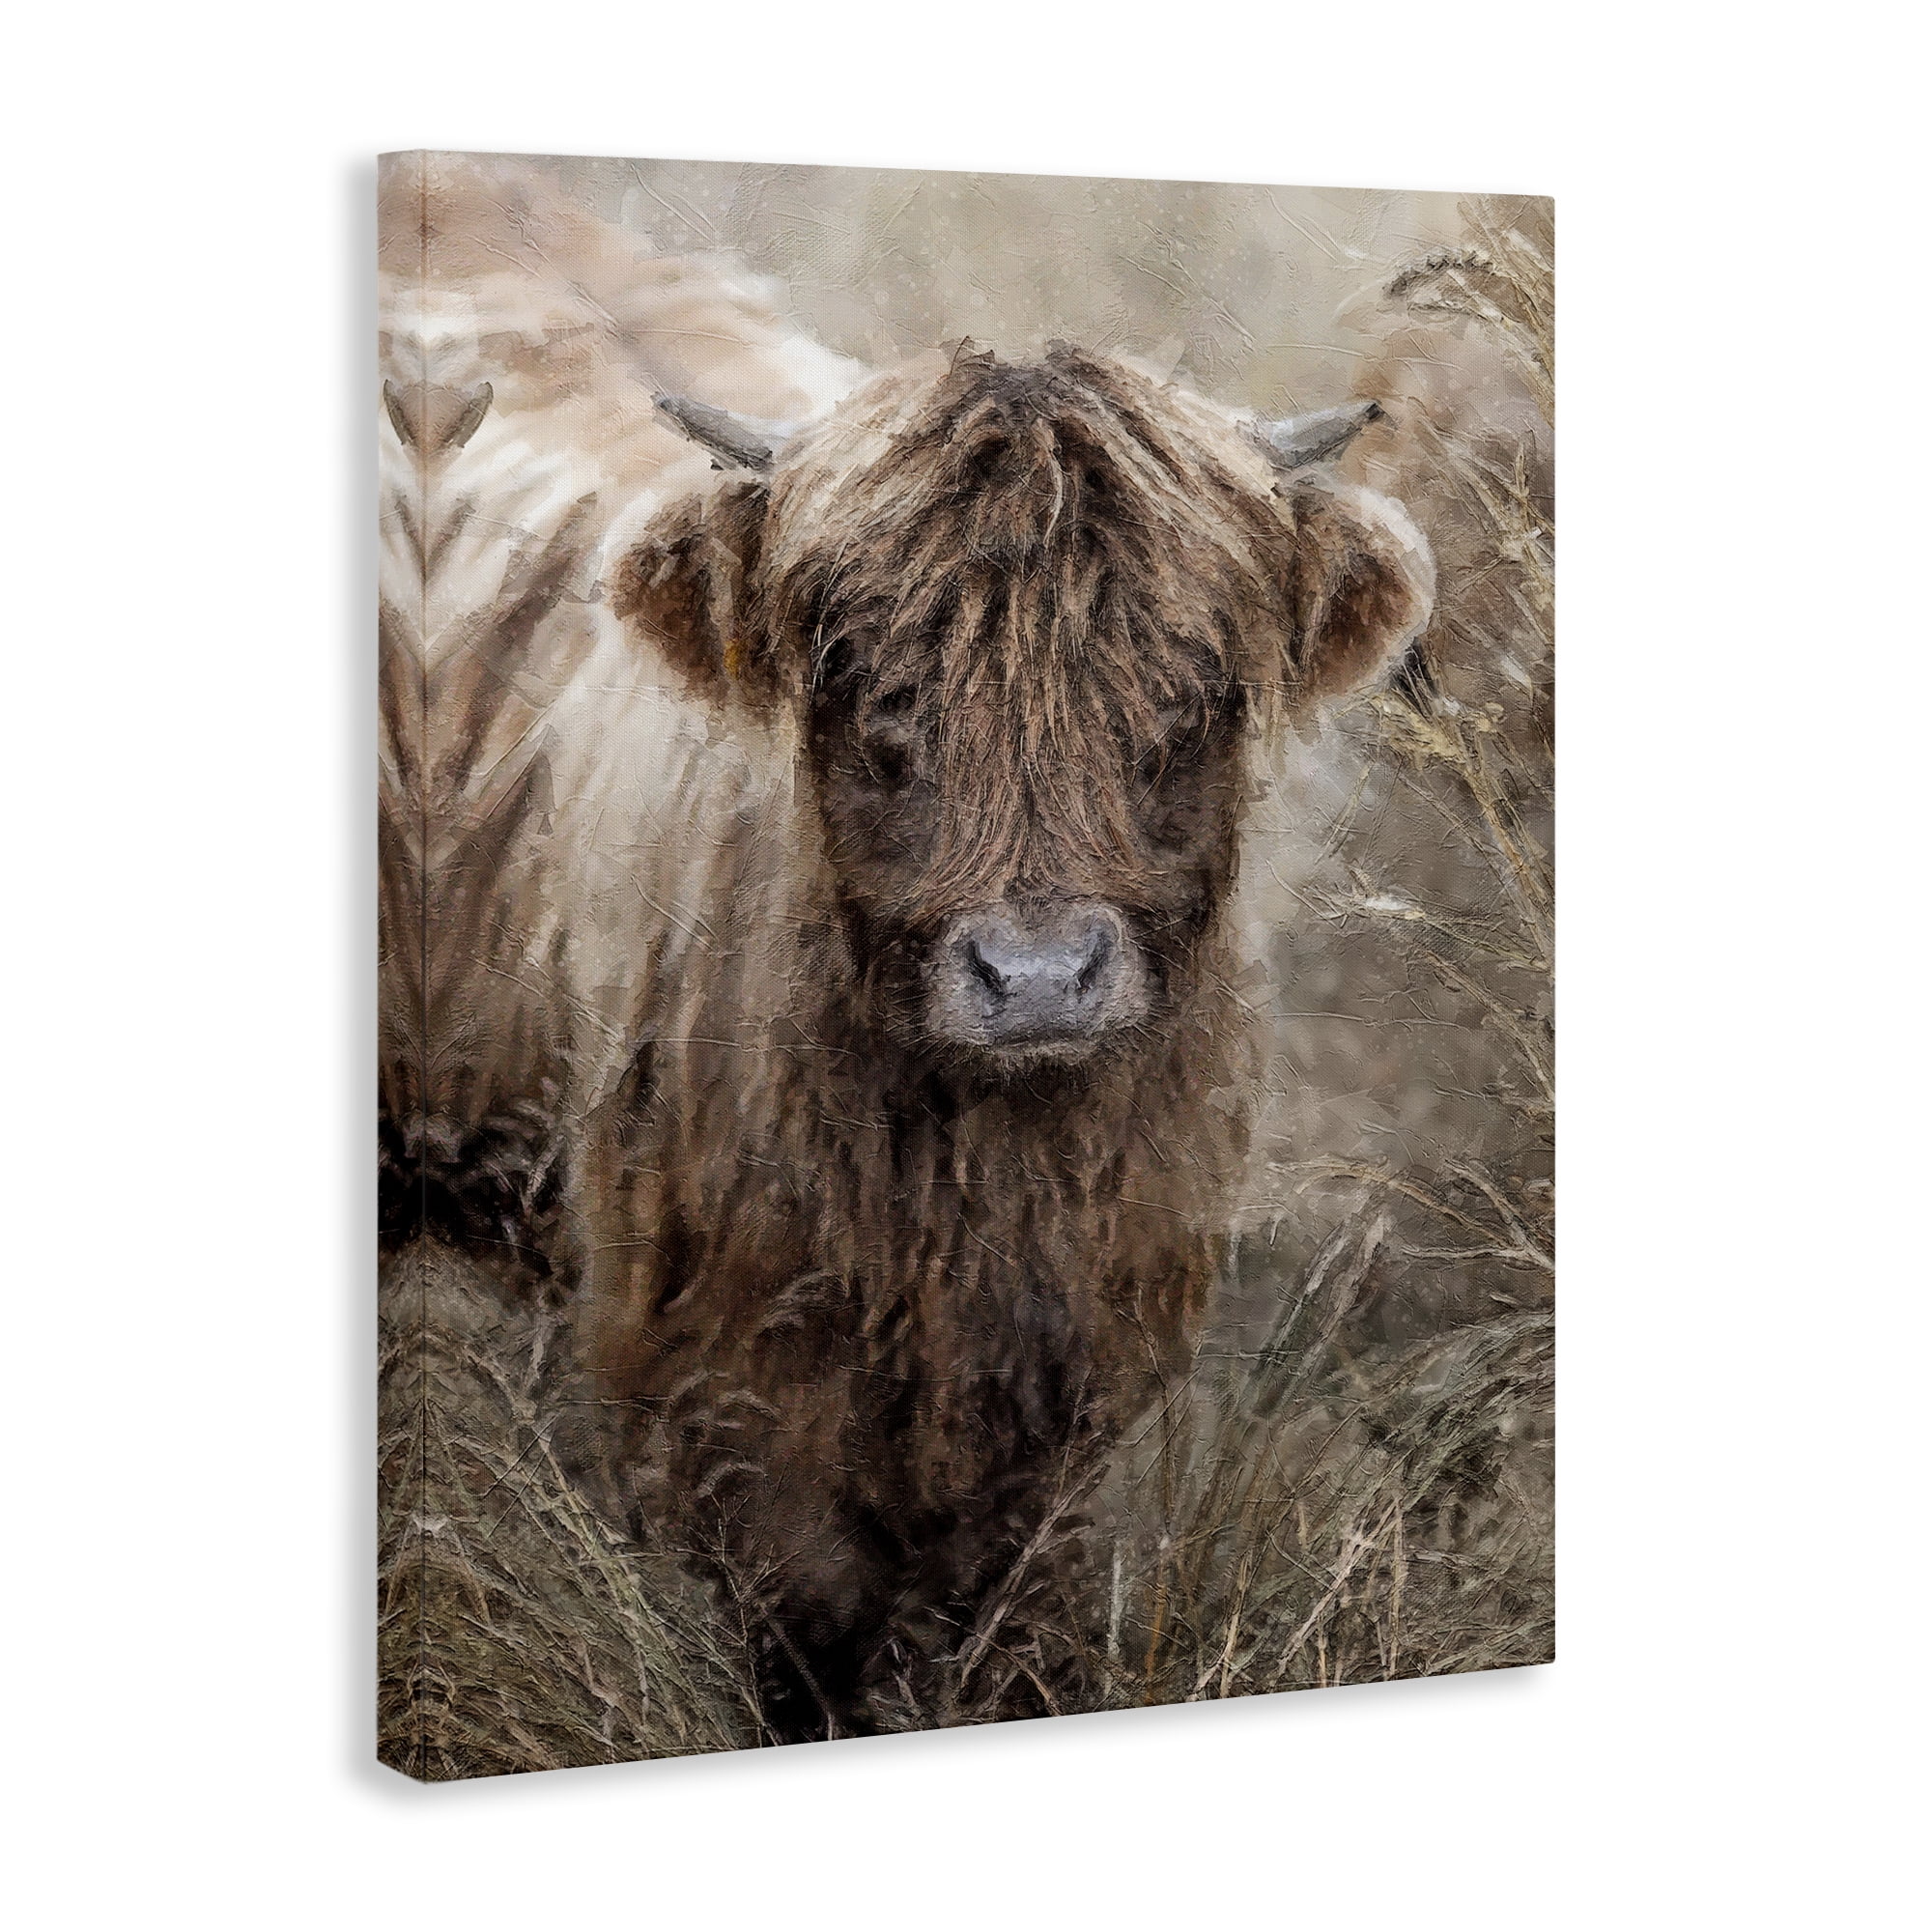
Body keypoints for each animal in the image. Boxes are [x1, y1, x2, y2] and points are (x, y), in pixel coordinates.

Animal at [558, 341, 1435, 1736]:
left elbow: (1018, 1608)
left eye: (1188, 700)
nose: (1035, 979)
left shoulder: (1079, 1390)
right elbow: (808, 1616)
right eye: (873, 693)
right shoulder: (720, 1382)